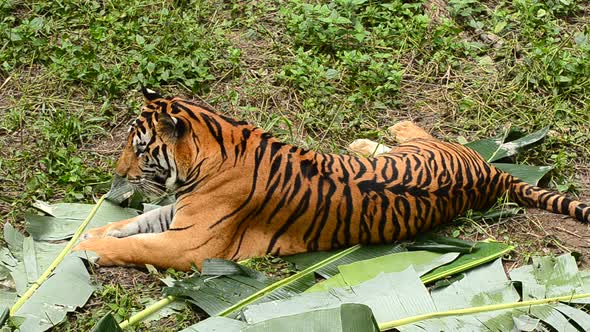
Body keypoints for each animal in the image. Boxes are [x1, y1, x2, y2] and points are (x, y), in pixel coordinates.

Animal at [71, 89, 588, 272]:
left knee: (420, 131)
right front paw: (83, 236)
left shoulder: (190, 244)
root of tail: (492, 170)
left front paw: (87, 250)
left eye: (139, 150)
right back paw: (364, 142)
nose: (117, 174)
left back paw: (393, 126)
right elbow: (131, 225)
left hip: (436, 148)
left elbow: (136, 244)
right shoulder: (178, 216)